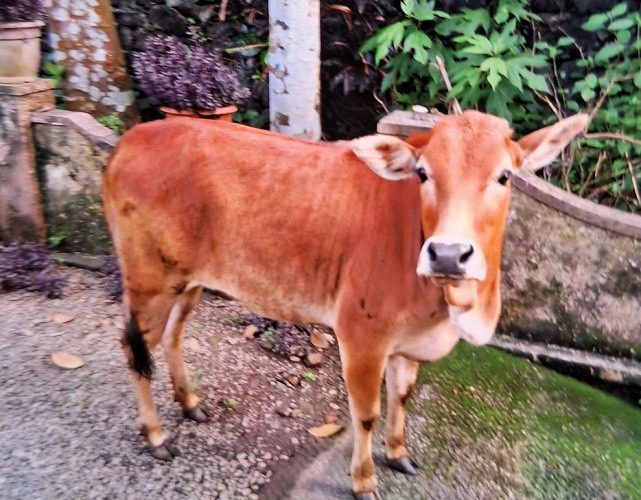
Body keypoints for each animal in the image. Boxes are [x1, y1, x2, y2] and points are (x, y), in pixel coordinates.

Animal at [102, 110, 588, 498]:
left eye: (505, 176)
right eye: (423, 174)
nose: (448, 254)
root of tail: (132, 139)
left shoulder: (408, 343)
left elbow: (402, 395)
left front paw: (398, 453)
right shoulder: (362, 335)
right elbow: (366, 413)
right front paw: (364, 479)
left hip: (188, 282)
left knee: (173, 336)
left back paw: (189, 402)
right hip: (149, 281)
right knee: (134, 348)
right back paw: (156, 435)